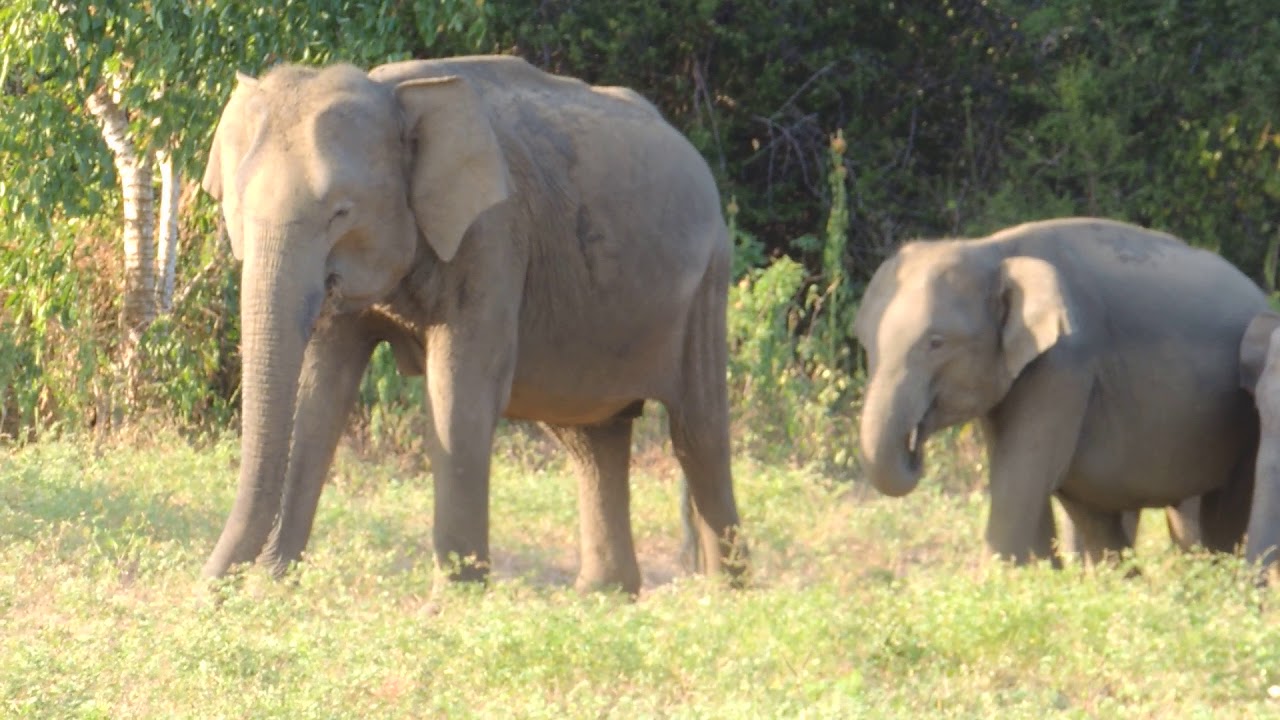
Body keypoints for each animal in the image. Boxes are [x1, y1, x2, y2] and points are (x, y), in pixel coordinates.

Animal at [198, 56, 748, 596]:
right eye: (238, 207)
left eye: (341, 212)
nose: (207, 592)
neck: (393, 93)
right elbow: (321, 393)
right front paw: (270, 591)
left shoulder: (493, 235)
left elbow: (460, 391)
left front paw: (450, 605)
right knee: (592, 437)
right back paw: (603, 596)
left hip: (708, 282)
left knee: (697, 433)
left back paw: (724, 596)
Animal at [854, 217, 1264, 565]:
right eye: (866, 345)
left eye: (937, 343)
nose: (916, 445)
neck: (993, 250)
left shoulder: (1065, 363)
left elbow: (1020, 476)